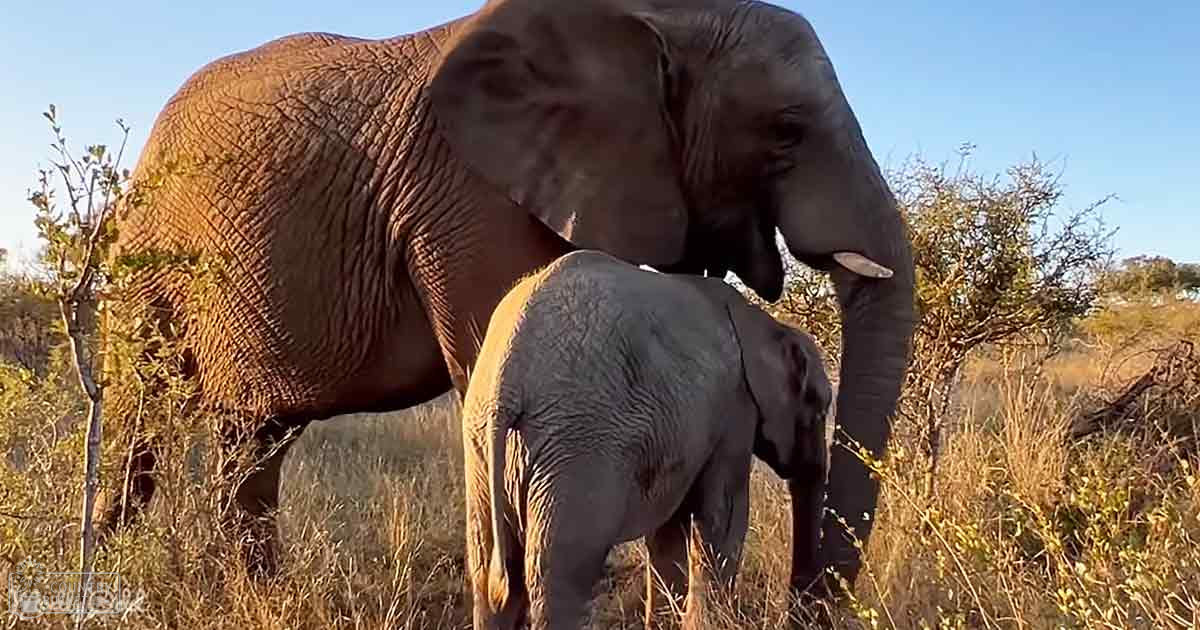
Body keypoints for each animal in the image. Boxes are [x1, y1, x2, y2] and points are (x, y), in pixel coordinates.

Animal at [461, 251, 833, 630]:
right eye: (819, 408)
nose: (802, 613)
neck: (767, 324)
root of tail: (509, 377)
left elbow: (668, 533)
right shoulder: (735, 409)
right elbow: (723, 518)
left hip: (484, 448)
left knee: (488, 570)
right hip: (578, 445)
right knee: (559, 571)